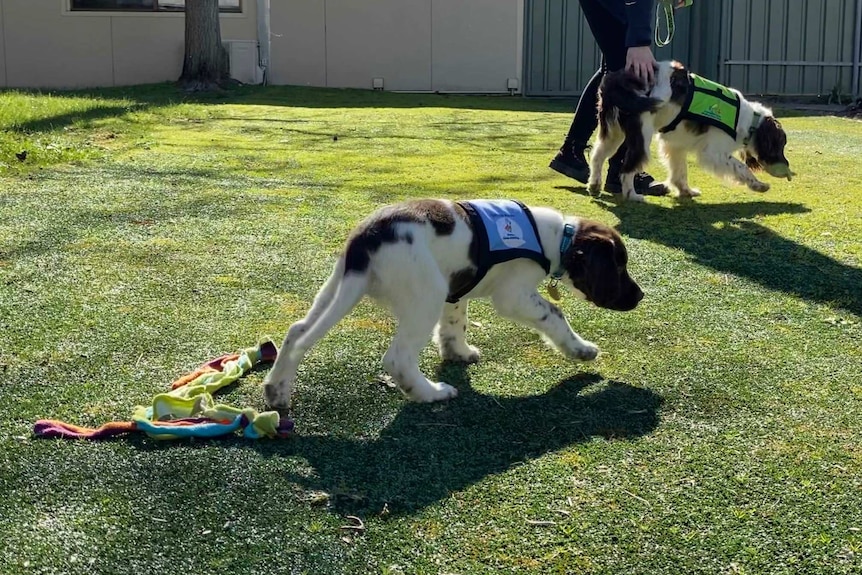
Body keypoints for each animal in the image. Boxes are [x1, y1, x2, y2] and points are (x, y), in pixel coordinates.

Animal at [266, 200, 644, 408]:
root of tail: (368, 239)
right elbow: (555, 314)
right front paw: (580, 349)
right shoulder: (513, 294)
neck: (554, 237)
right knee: (397, 358)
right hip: (425, 293)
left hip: (336, 286)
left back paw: (276, 391)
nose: (640, 296)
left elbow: (454, 324)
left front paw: (457, 352)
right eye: (619, 266)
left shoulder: (455, 289)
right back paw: (430, 393)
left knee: (296, 331)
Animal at [588, 59, 796, 201]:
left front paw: (685, 191)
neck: (748, 118)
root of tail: (615, 80)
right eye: (781, 146)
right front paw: (758, 185)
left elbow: (679, 172)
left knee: (597, 156)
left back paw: (594, 184)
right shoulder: (713, 152)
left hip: (613, 133)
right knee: (626, 169)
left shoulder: (676, 145)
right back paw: (632, 195)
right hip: (641, 137)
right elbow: (741, 167)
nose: (787, 166)